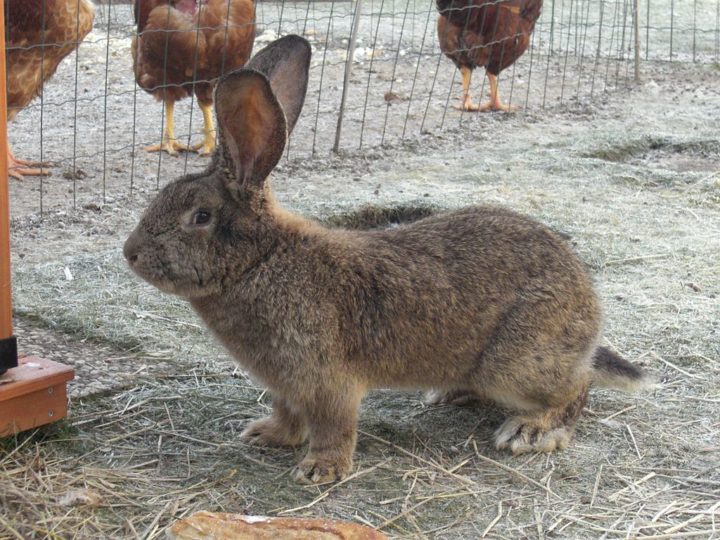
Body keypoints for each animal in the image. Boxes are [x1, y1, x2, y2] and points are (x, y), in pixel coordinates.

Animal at [124, 35, 652, 485]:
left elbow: (334, 426)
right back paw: (451, 392)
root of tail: (589, 310)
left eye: (200, 216)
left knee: (575, 389)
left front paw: (320, 470)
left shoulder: (327, 380)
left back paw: (531, 430)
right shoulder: (286, 384)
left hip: (516, 361)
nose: (130, 253)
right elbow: (287, 414)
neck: (261, 259)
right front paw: (266, 435)